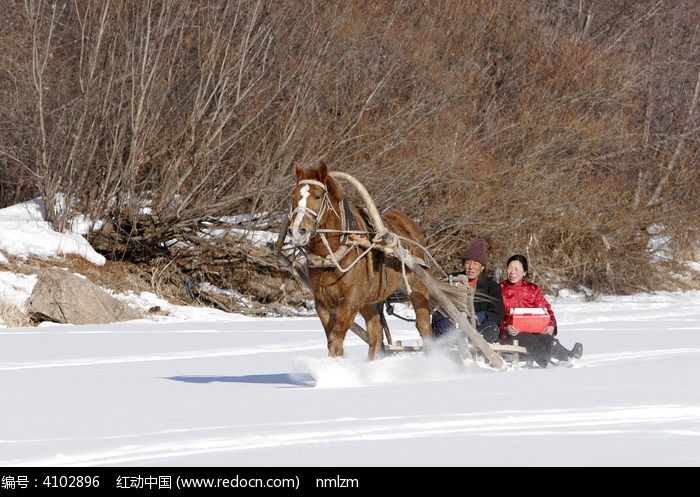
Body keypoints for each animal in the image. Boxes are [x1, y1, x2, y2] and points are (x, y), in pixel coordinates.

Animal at [288, 161, 434, 358]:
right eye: (293, 197)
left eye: (318, 196)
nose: (297, 230)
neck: (332, 256)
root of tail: (411, 226)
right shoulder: (322, 301)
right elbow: (332, 339)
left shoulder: (352, 298)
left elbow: (337, 335)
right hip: (370, 301)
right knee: (376, 335)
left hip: (418, 288)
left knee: (424, 327)